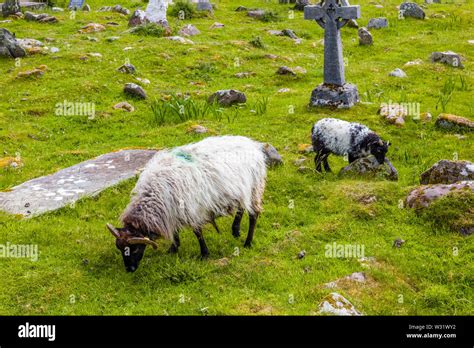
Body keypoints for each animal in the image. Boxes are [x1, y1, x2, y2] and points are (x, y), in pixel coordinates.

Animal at [107, 135, 266, 272]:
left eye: (134, 248)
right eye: (119, 248)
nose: (130, 269)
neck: (155, 194)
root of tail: (252, 144)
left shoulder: (191, 209)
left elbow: (198, 232)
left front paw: (204, 254)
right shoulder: (172, 210)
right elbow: (175, 230)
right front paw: (173, 248)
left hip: (255, 187)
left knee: (253, 215)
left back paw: (248, 243)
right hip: (241, 190)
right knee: (241, 207)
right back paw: (235, 230)